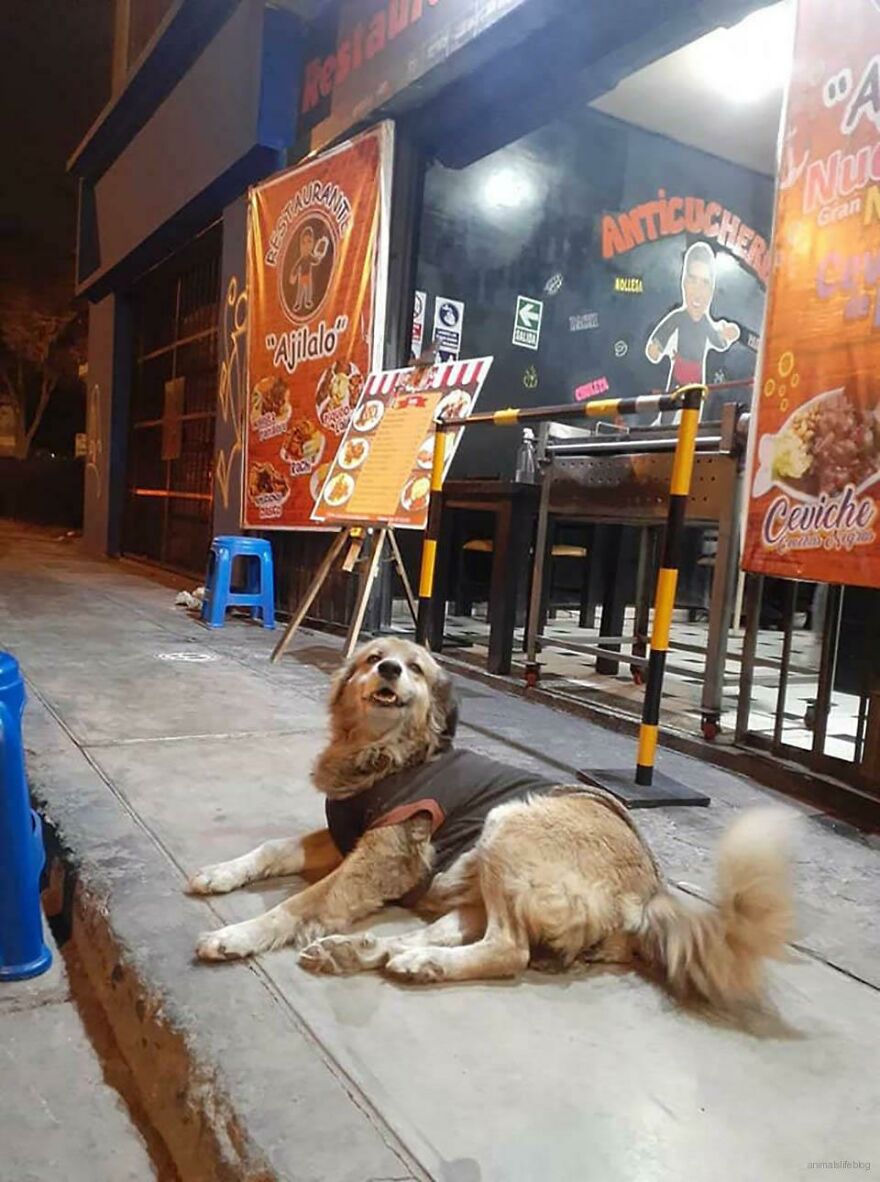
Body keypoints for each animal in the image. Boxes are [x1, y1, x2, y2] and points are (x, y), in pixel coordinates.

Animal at [188, 638, 793, 1007]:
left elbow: (299, 903)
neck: (388, 756)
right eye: (373, 656)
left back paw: (416, 962)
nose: (388, 670)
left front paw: (236, 935)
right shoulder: (351, 839)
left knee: (508, 949)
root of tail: (650, 892)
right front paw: (221, 873)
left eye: (414, 668)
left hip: (509, 825)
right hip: (471, 874)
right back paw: (372, 953)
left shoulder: (380, 858)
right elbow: (271, 849)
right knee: (448, 930)